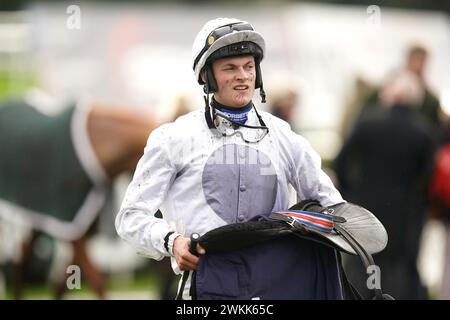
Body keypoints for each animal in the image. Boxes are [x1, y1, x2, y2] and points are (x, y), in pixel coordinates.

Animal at [0, 96, 161, 298]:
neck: (99, 147)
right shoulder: (73, 231)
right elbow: (97, 281)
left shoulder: (80, 227)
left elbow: (61, 284)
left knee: (21, 256)